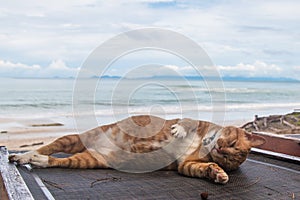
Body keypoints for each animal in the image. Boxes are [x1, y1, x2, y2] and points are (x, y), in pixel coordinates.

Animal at [8, 115, 264, 184]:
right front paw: (180, 130)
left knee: (56, 160)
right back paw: (23, 155)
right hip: (72, 139)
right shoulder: (194, 121)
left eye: (228, 159)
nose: (220, 149)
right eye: (232, 143)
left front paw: (217, 174)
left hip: (86, 159)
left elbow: (201, 168)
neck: (203, 144)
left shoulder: (187, 165)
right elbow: (187, 122)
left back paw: (37, 160)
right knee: (47, 146)